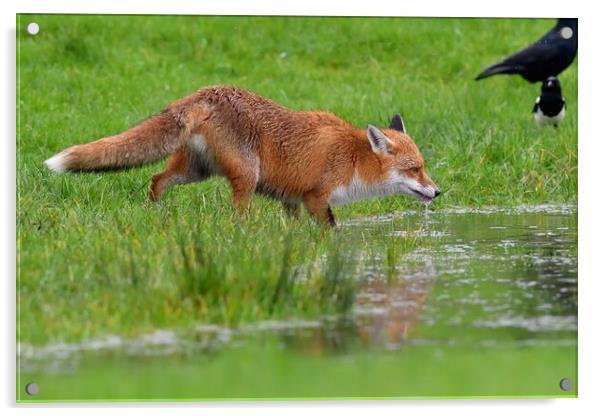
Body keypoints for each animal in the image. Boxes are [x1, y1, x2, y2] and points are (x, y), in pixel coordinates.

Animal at [42, 85, 436, 226]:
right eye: (414, 169)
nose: (438, 192)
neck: (353, 158)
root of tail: (208, 91)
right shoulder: (316, 197)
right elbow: (330, 231)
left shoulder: (291, 198)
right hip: (247, 174)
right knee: (237, 215)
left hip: (194, 171)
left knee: (156, 179)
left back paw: (153, 214)